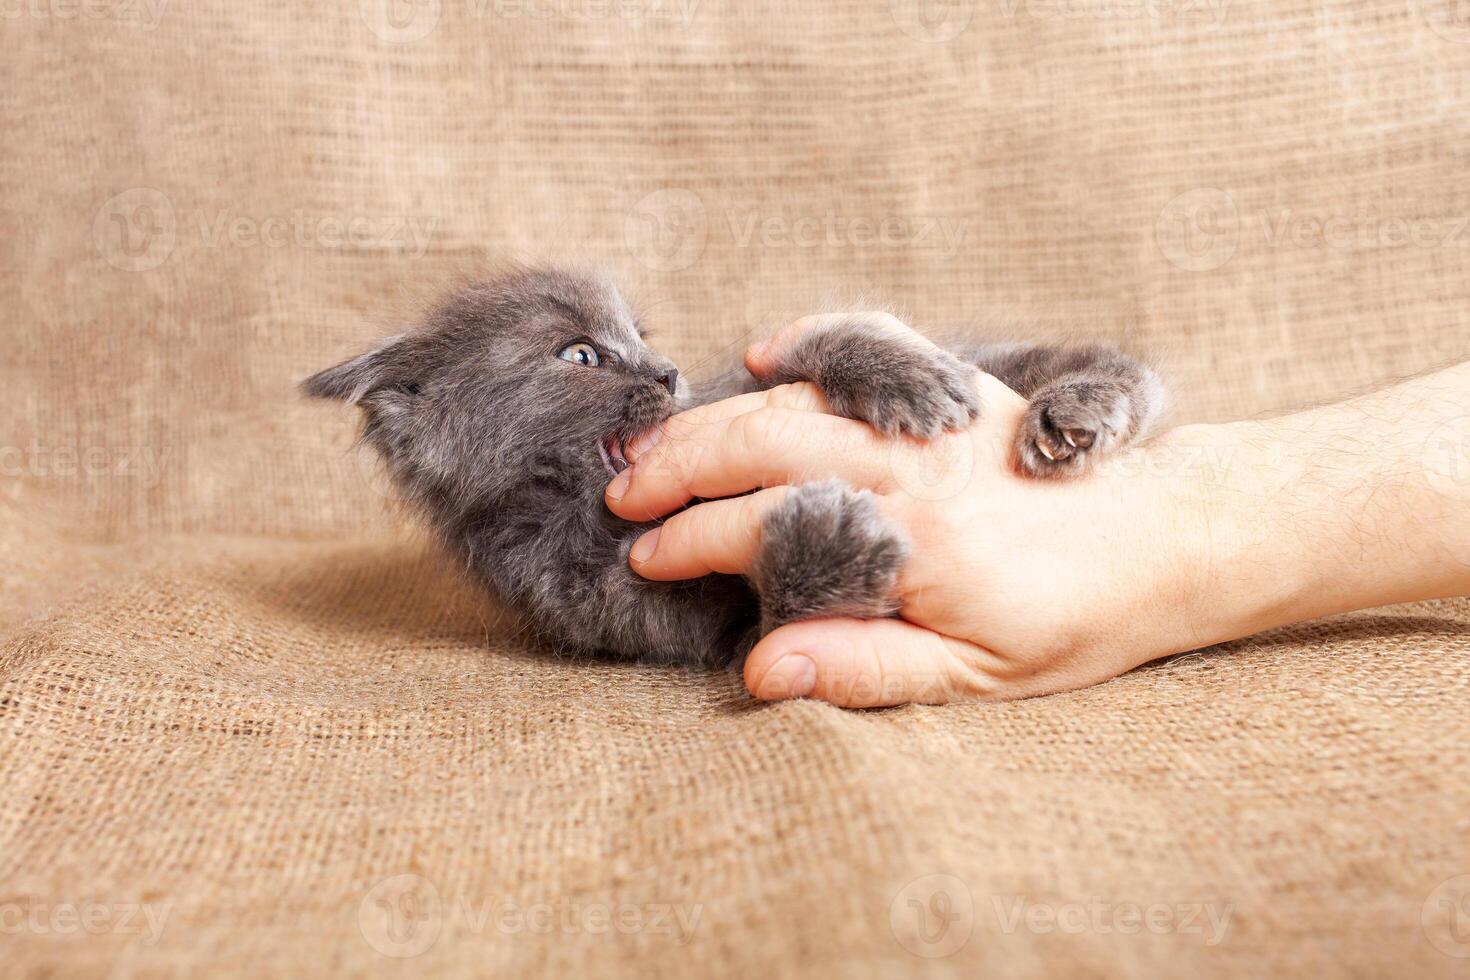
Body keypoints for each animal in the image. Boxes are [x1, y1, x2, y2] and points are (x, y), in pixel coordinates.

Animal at [307, 268, 1158, 667]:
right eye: (578, 355)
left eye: (640, 336)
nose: (668, 372)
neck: (595, 512)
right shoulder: (629, 610)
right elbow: (775, 619)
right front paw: (829, 543)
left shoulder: (740, 388)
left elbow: (808, 342)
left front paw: (901, 373)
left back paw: (1083, 406)